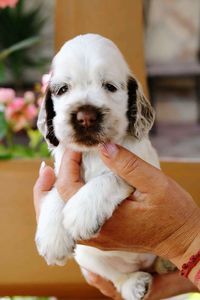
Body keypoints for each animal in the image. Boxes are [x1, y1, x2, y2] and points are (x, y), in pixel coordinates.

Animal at [36, 33, 160, 300]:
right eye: (62, 89)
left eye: (110, 87)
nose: (85, 116)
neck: (92, 152)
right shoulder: (62, 171)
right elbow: (56, 192)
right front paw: (52, 237)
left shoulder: (142, 168)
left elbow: (109, 177)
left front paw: (81, 212)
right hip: (90, 259)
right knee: (117, 275)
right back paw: (134, 283)